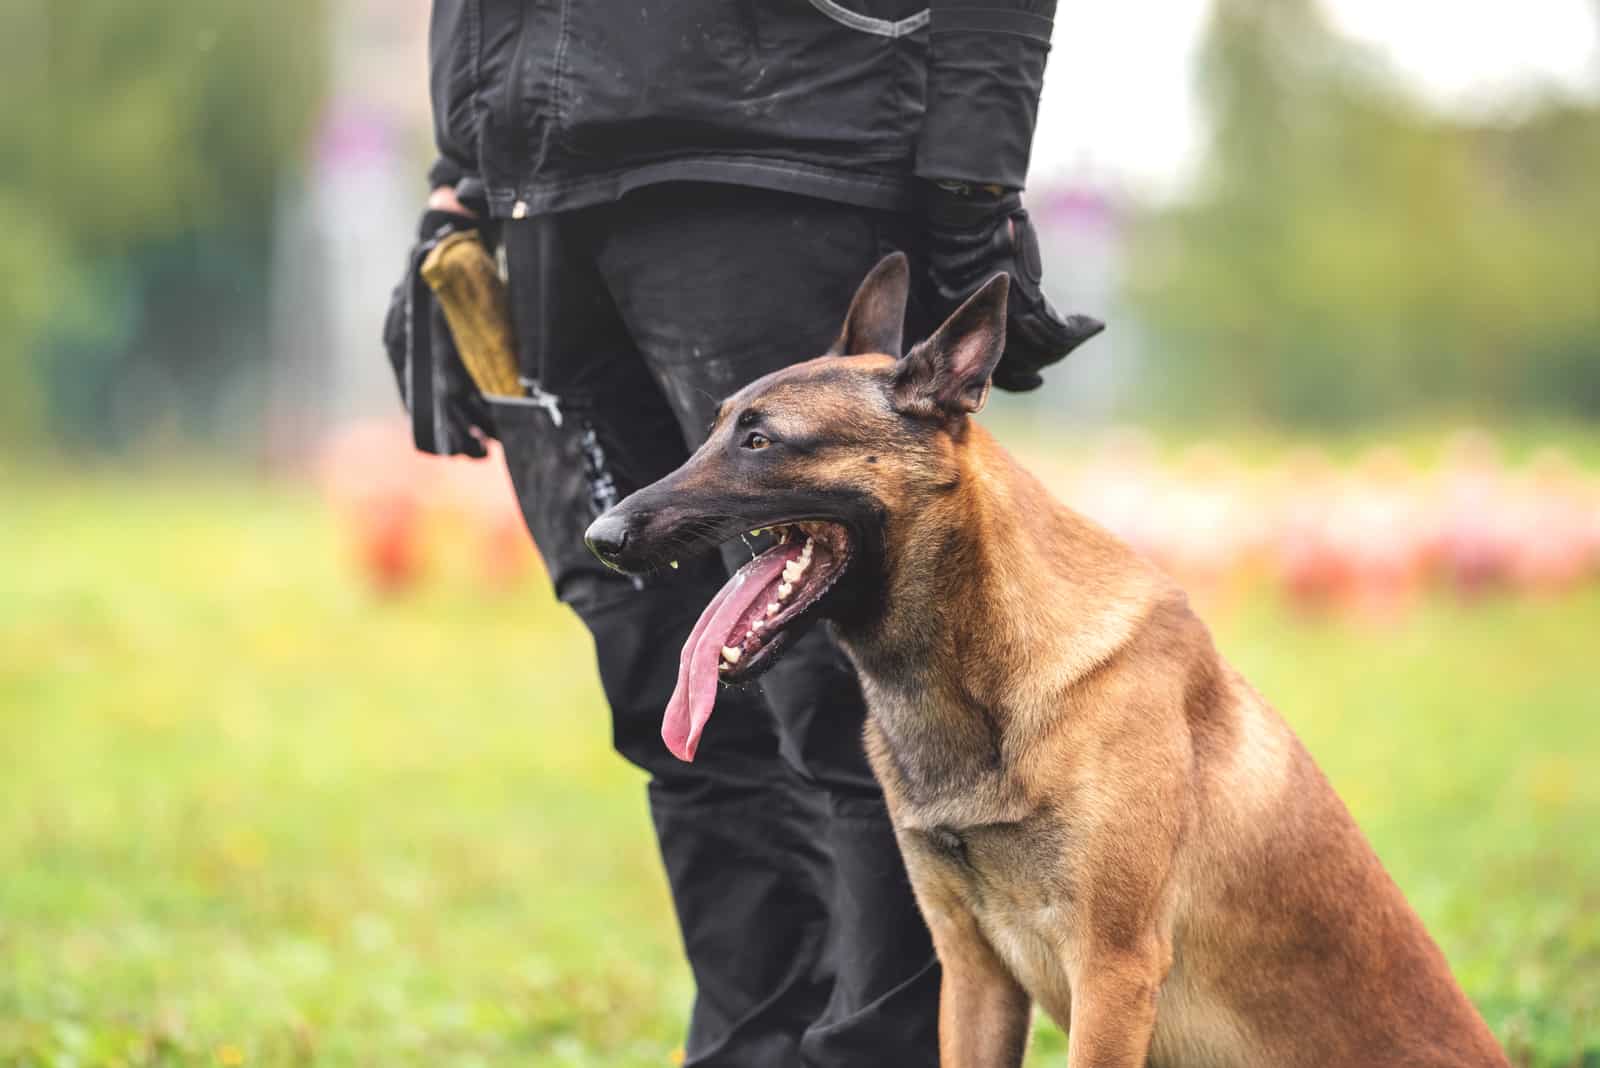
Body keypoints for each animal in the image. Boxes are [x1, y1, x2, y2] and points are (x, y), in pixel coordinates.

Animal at [585, 254, 1510, 1061]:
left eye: (760, 440)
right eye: (713, 431)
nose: (601, 537)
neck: (978, 669)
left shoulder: (1112, 970)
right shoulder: (973, 972)